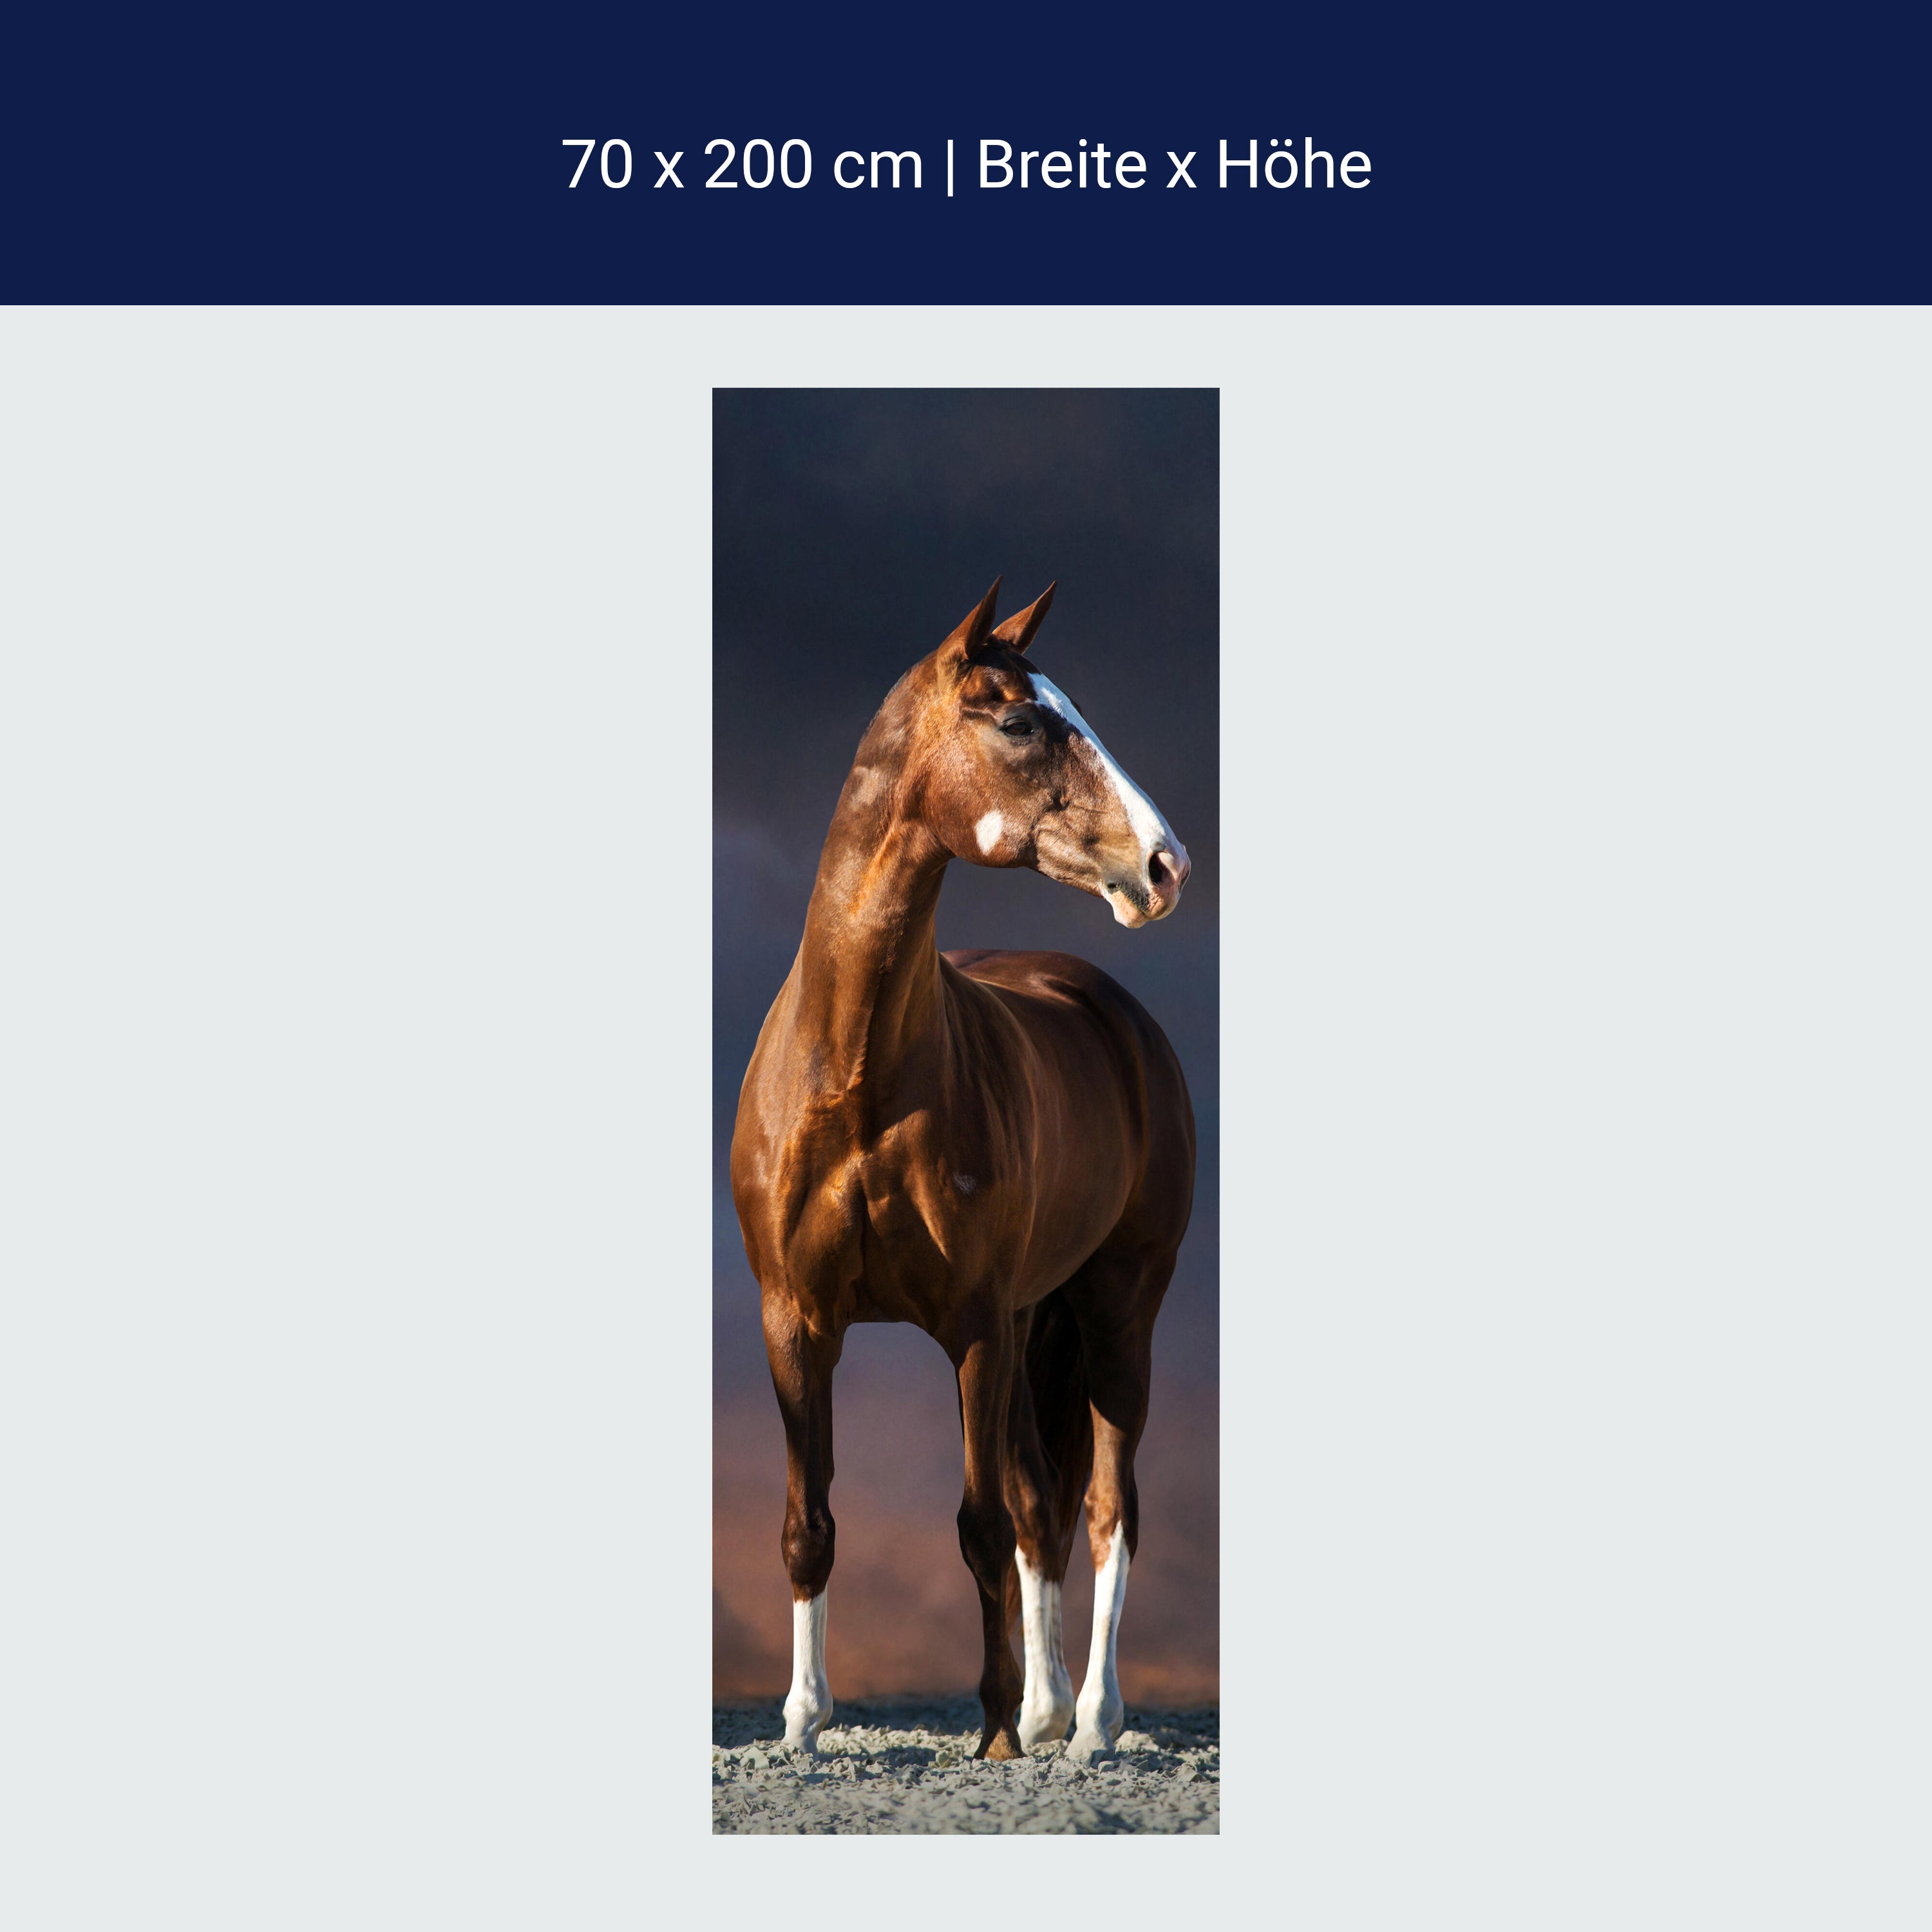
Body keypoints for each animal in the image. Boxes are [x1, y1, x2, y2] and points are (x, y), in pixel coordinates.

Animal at [729, 578, 1197, 1764]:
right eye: (1021, 722)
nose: (1166, 866)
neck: (856, 1076)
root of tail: (1112, 1008)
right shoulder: (794, 1320)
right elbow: (811, 1524)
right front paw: (803, 1725)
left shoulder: (974, 1324)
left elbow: (982, 1524)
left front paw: (993, 1734)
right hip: (1042, 1323)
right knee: (1043, 1503)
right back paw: (1047, 1707)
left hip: (1118, 1313)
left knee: (1105, 1508)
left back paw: (1087, 1722)